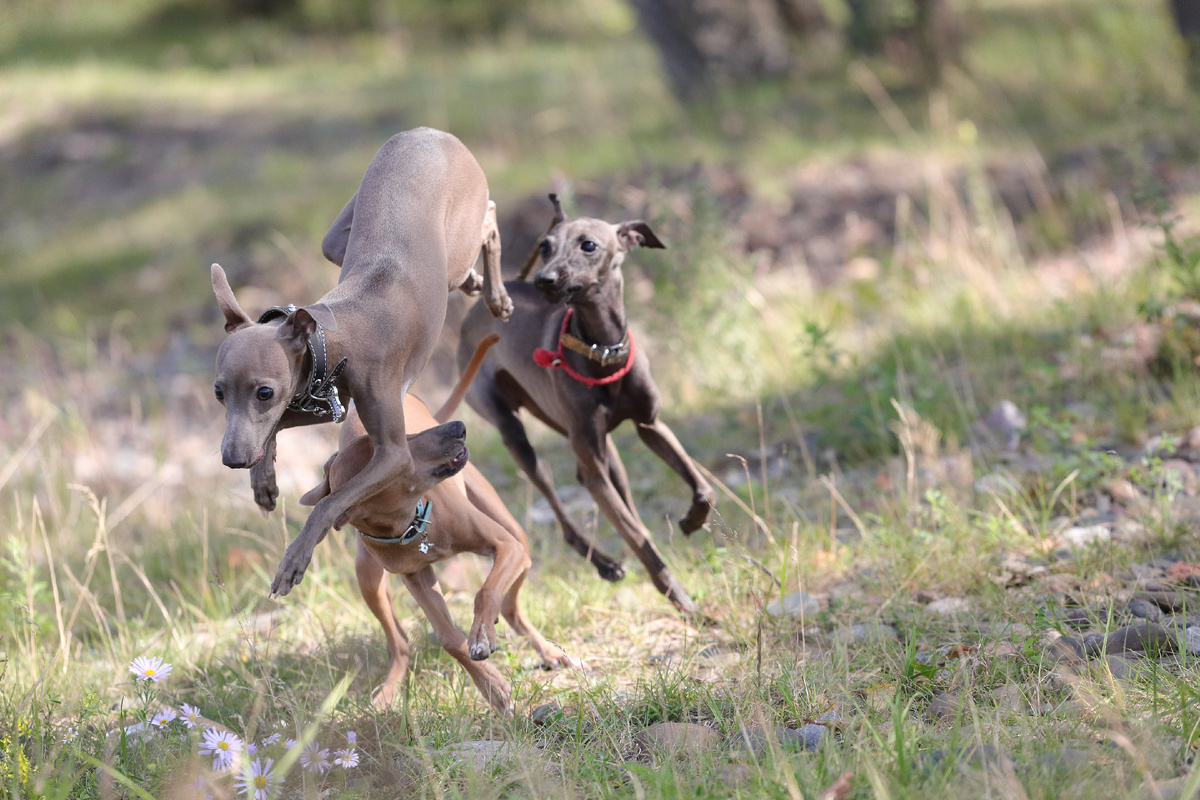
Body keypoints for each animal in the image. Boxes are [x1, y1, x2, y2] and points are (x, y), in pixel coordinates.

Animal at [304, 335, 576, 714]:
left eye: (406, 436)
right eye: (400, 455)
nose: (459, 428)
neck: (413, 525)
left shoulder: (505, 546)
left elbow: (485, 591)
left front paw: (482, 637)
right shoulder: (416, 576)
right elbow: (449, 638)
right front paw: (493, 687)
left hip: (516, 536)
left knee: (510, 604)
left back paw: (543, 649)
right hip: (368, 576)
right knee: (399, 643)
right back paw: (389, 690)